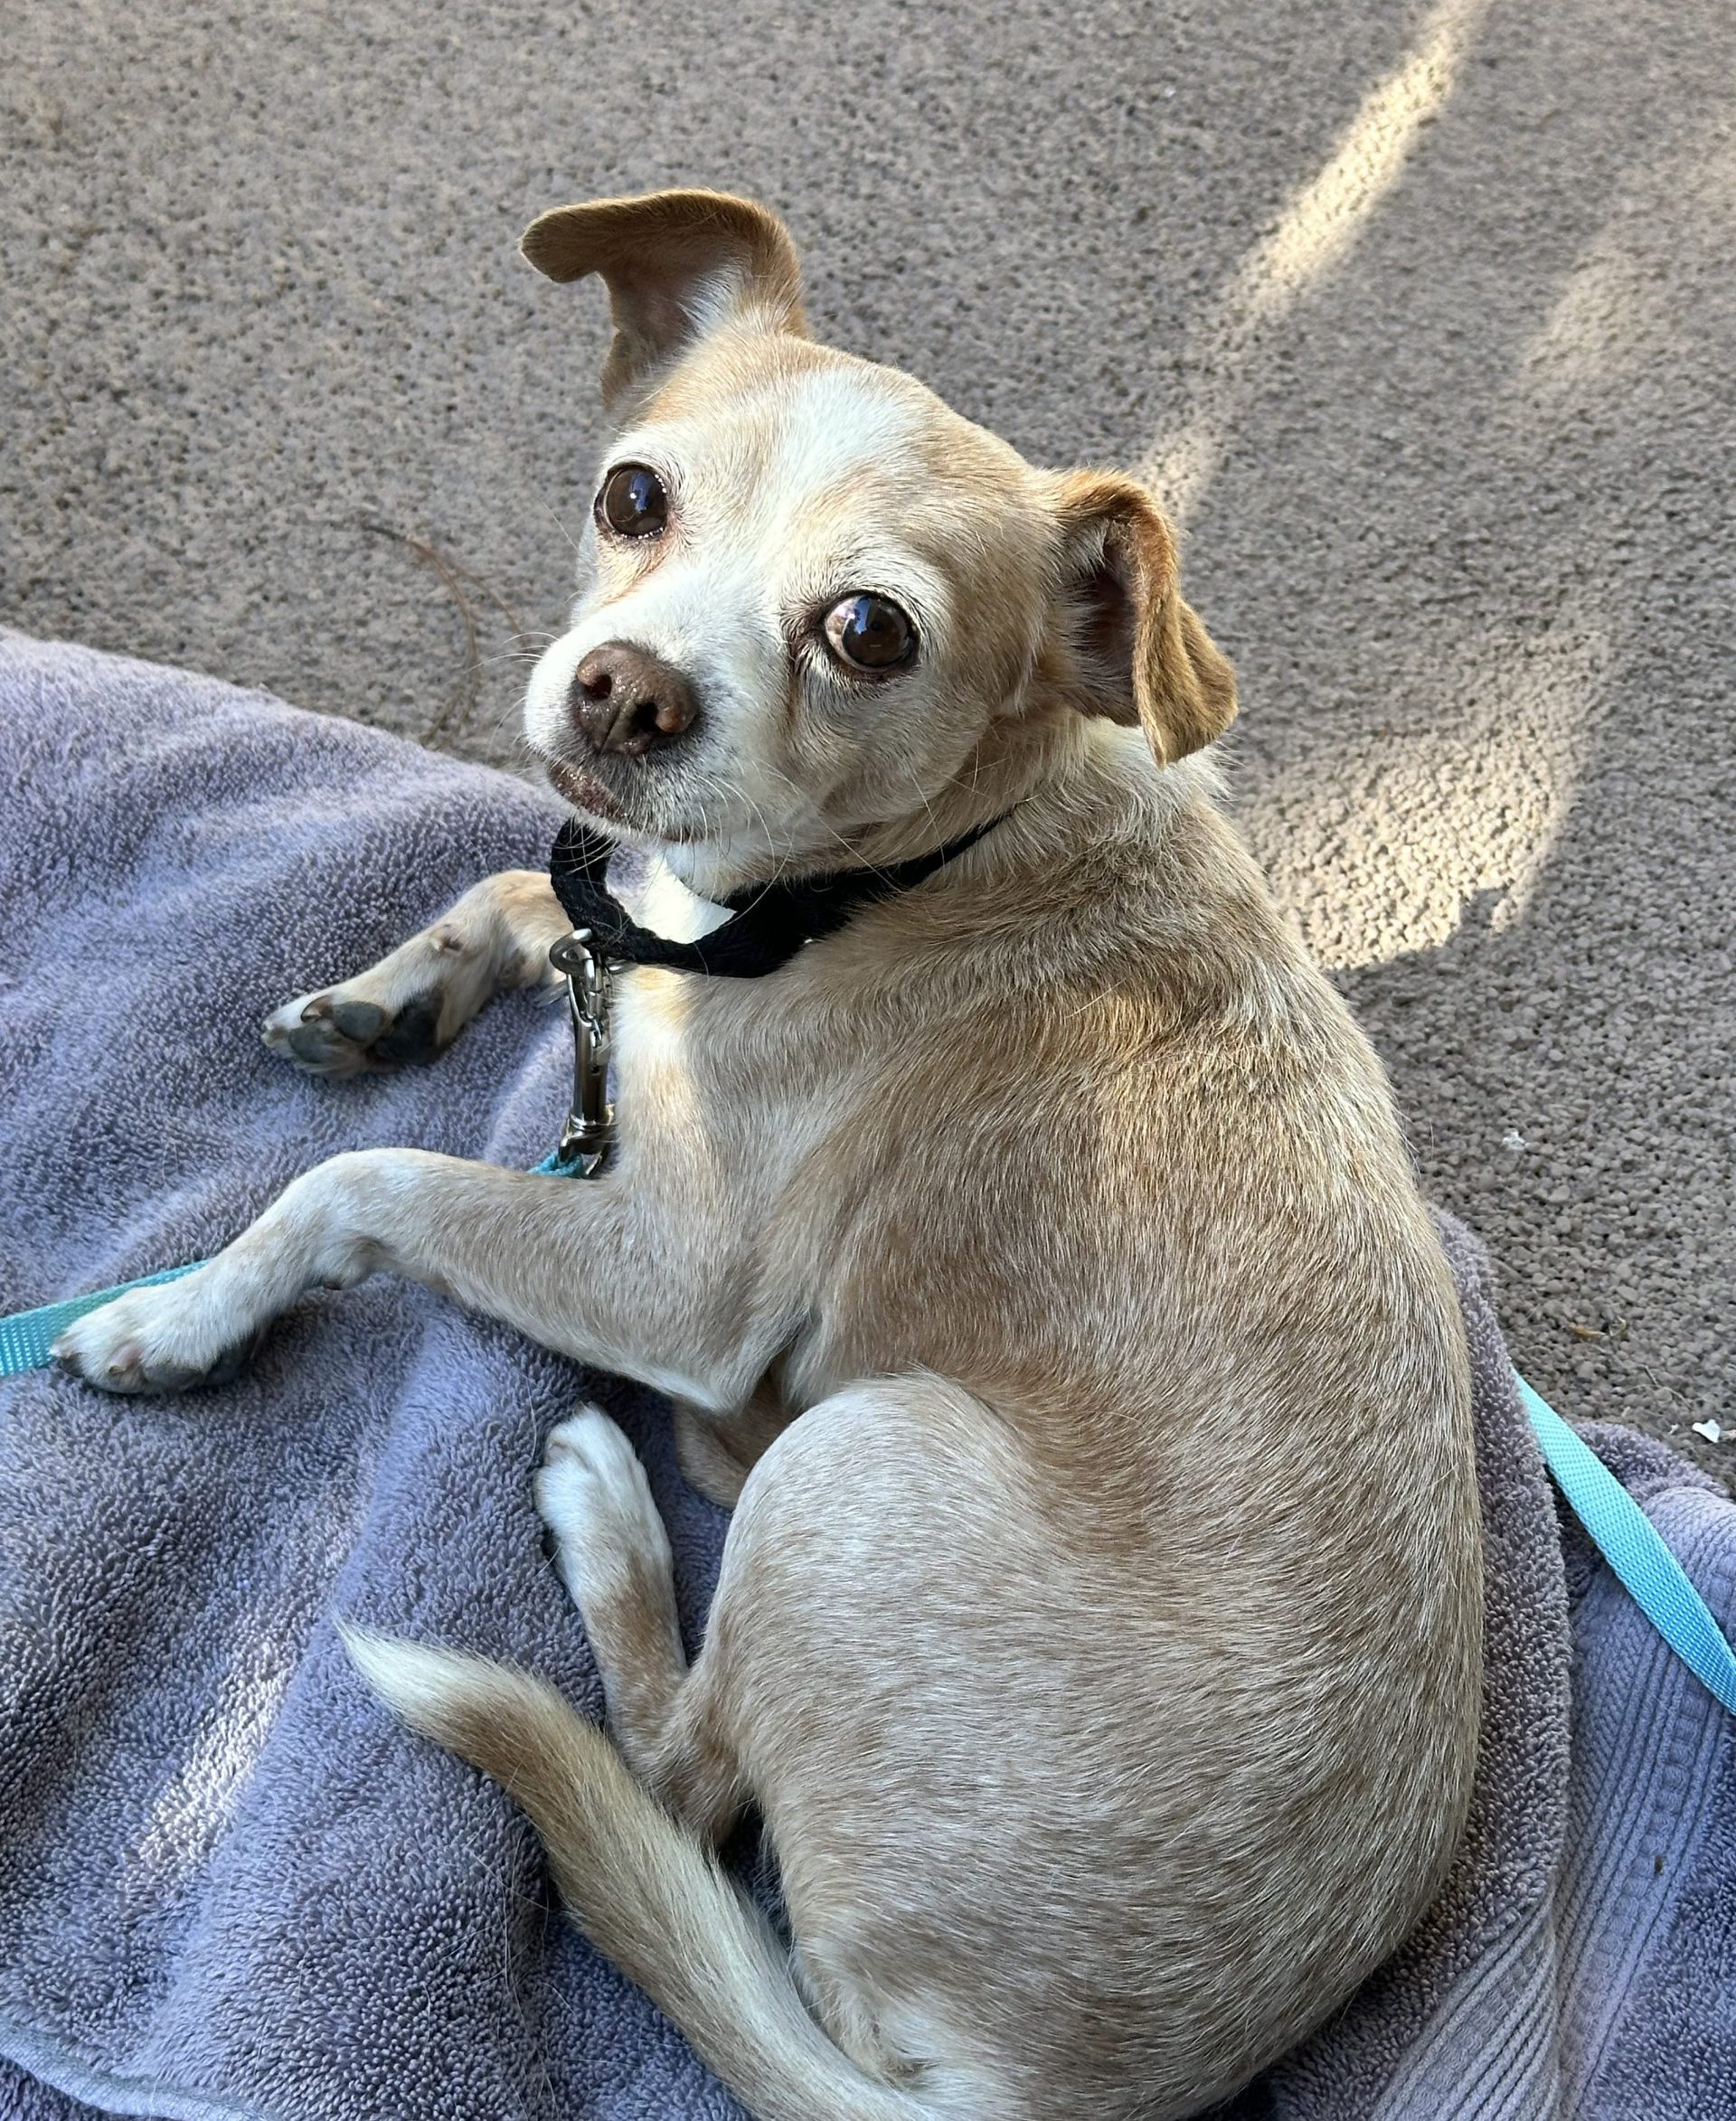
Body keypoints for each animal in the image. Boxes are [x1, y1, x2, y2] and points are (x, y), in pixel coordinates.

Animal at [61, 191, 1486, 2112]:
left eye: (870, 632)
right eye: (631, 497)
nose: (623, 693)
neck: (880, 880)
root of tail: (1041, 2100)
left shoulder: (675, 1275)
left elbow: (359, 1184)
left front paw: (180, 1316)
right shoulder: (629, 932)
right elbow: (531, 889)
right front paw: (384, 997)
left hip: (860, 1463)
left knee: (675, 1774)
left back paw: (612, 1514)